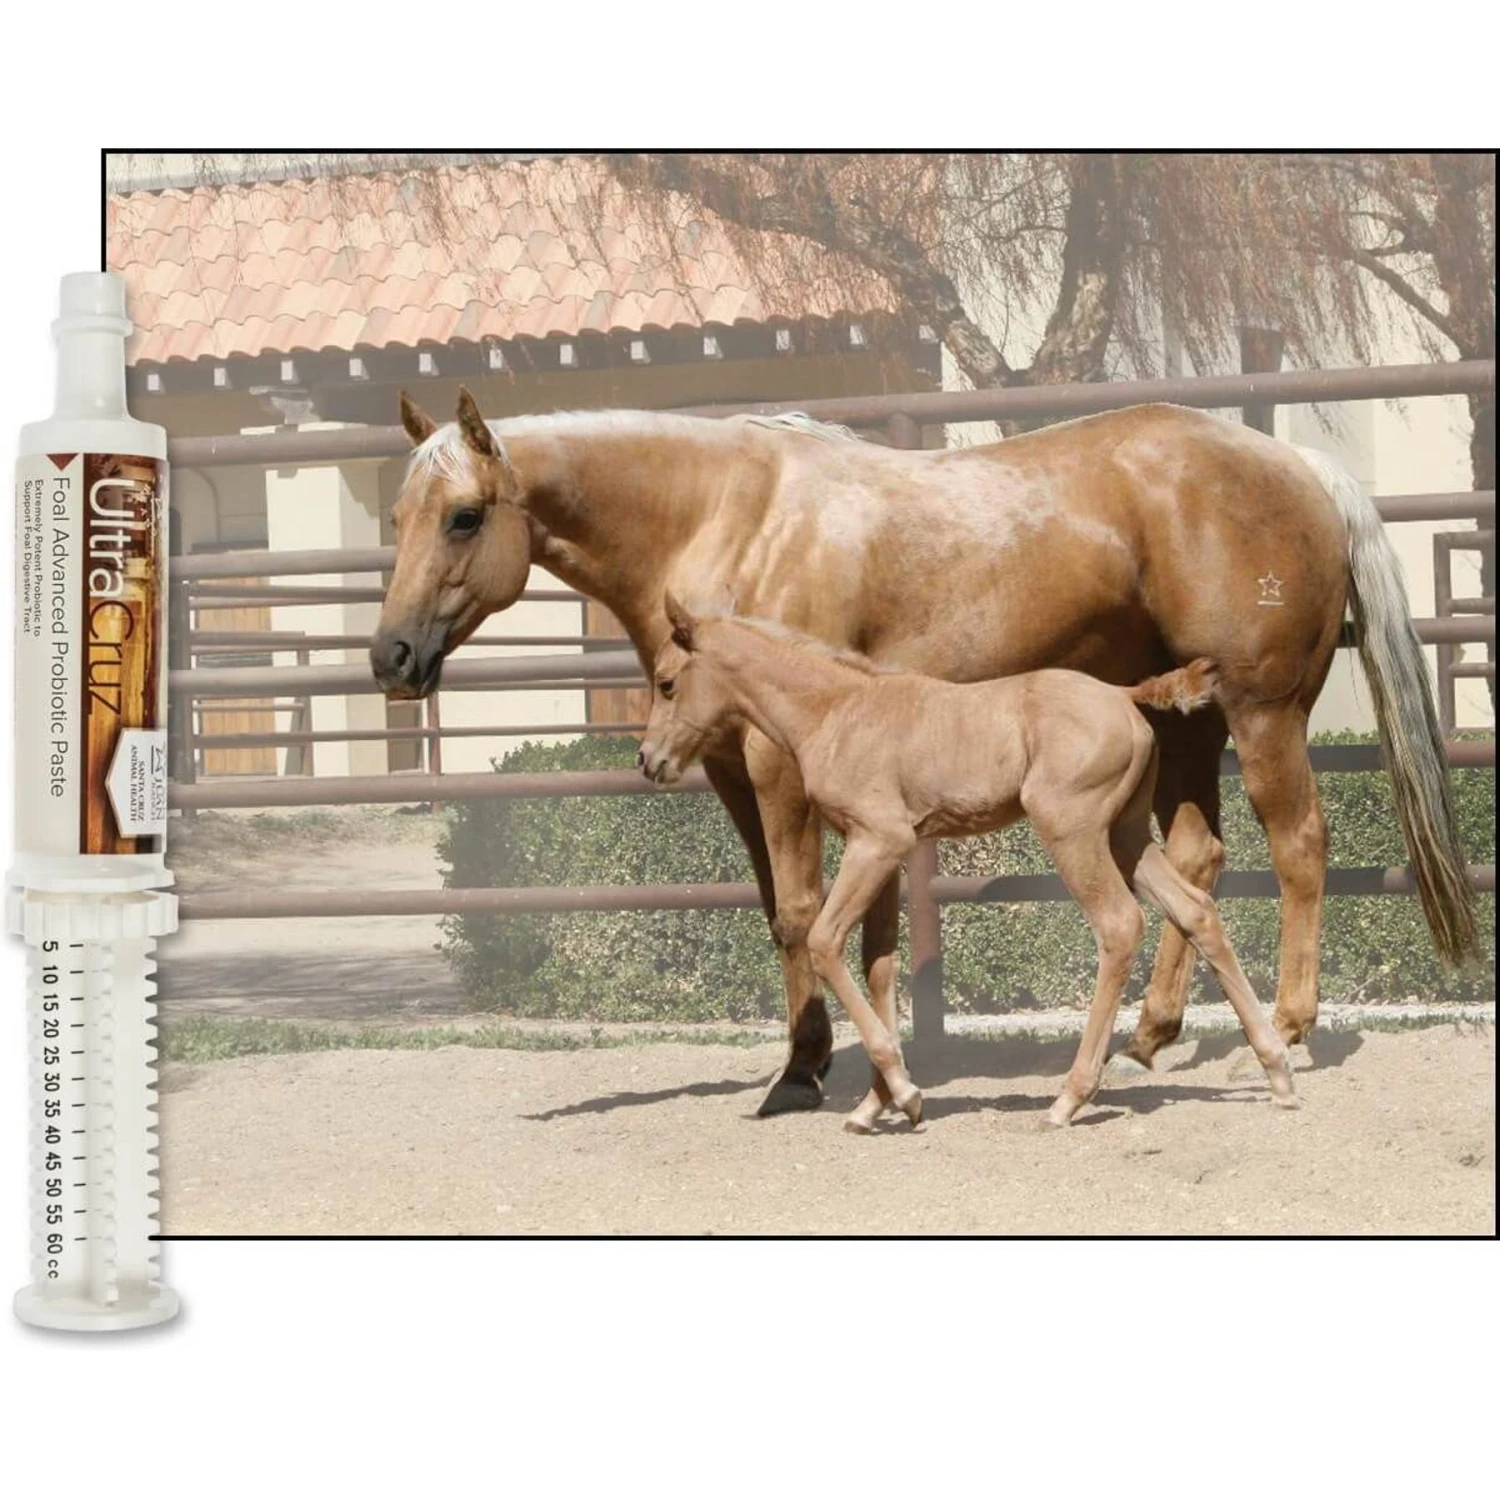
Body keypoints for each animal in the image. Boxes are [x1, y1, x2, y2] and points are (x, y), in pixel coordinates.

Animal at [637, 600, 1300, 1130]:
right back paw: (1277, 1073)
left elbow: (825, 942)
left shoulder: (877, 841)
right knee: (1197, 910)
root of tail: (1122, 694)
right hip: (1126, 834)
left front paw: (905, 1094)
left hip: (1074, 831)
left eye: (666, 683)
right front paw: (876, 1104)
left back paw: (1070, 1097)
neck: (837, 711)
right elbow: (879, 966)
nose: (648, 760)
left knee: (1119, 925)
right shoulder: (883, 851)